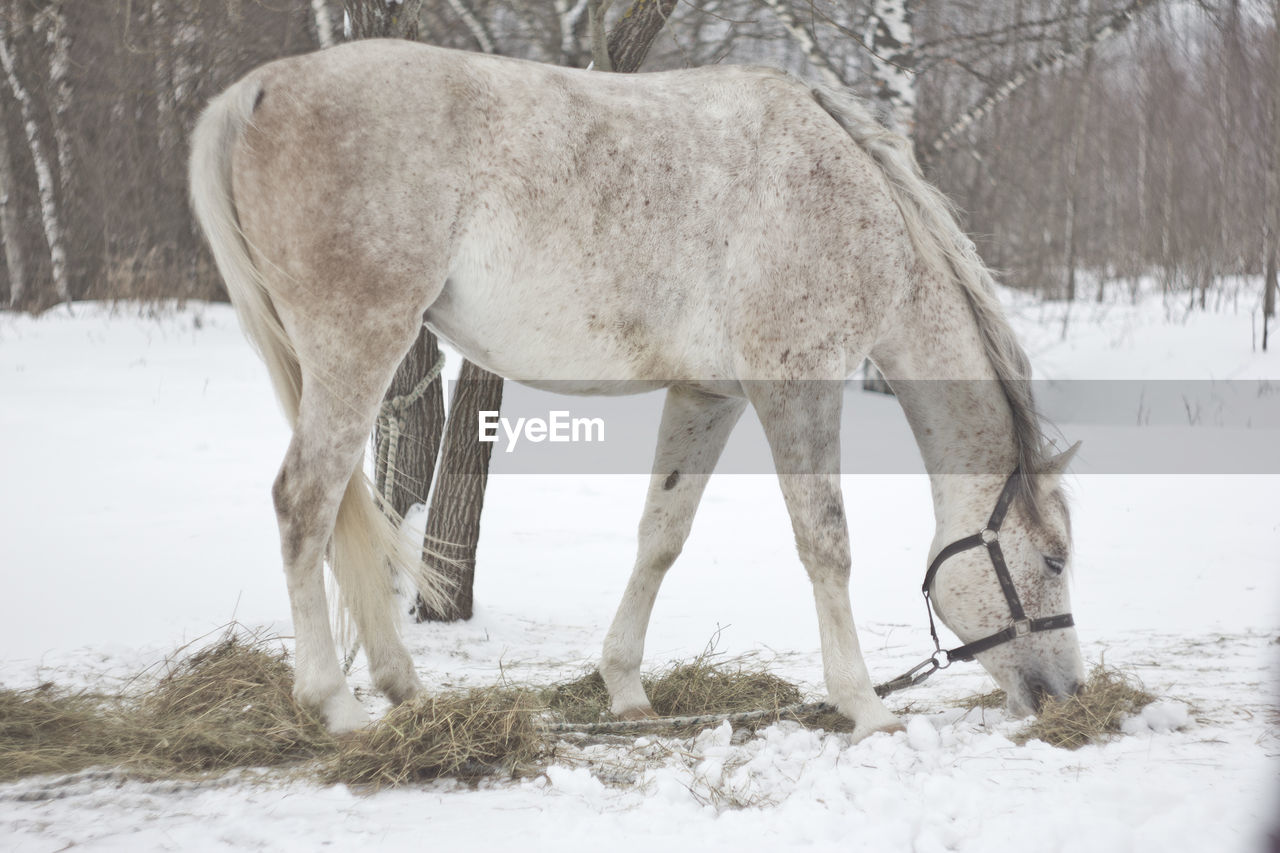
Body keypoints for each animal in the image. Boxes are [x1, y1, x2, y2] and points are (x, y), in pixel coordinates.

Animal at [189, 43, 1085, 742]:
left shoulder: (707, 396)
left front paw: (625, 687)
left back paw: (404, 689)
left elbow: (662, 534)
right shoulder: (797, 386)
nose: (1069, 694)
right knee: (305, 501)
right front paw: (866, 706)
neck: (852, 199)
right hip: (356, 348)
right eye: (1054, 557)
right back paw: (336, 705)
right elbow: (826, 542)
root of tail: (262, 87)